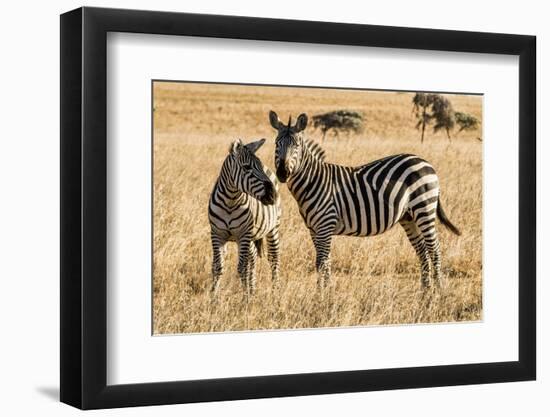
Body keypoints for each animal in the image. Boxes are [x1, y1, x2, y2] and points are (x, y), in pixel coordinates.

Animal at [209, 138, 282, 294]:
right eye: (247, 167)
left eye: (259, 166)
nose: (272, 195)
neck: (230, 201)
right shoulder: (217, 234)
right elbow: (218, 267)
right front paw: (213, 297)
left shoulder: (243, 235)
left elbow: (242, 269)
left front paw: (245, 299)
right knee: (252, 259)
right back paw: (252, 289)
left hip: (273, 228)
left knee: (273, 258)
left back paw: (275, 292)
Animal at [270, 109, 464, 288]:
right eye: (276, 143)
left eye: (296, 145)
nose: (282, 173)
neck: (313, 181)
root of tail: (426, 162)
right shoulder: (314, 229)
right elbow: (325, 262)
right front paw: (326, 290)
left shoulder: (325, 225)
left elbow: (321, 262)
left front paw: (322, 293)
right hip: (409, 217)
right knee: (422, 251)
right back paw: (425, 292)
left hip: (424, 208)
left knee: (434, 249)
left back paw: (438, 290)